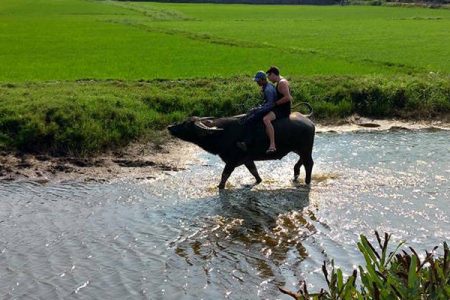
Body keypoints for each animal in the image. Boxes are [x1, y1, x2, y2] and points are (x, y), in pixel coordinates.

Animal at [167, 111, 314, 189]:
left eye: (186, 124)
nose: (169, 127)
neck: (222, 133)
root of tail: (310, 122)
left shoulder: (232, 161)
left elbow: (225, 175)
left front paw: (220, 187)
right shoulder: (247, 160)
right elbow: (254, 172)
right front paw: (258, 181)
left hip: (305, 149)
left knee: (309, 164)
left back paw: (307, 182)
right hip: (300, 150)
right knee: (300, 162)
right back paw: (295, 174)